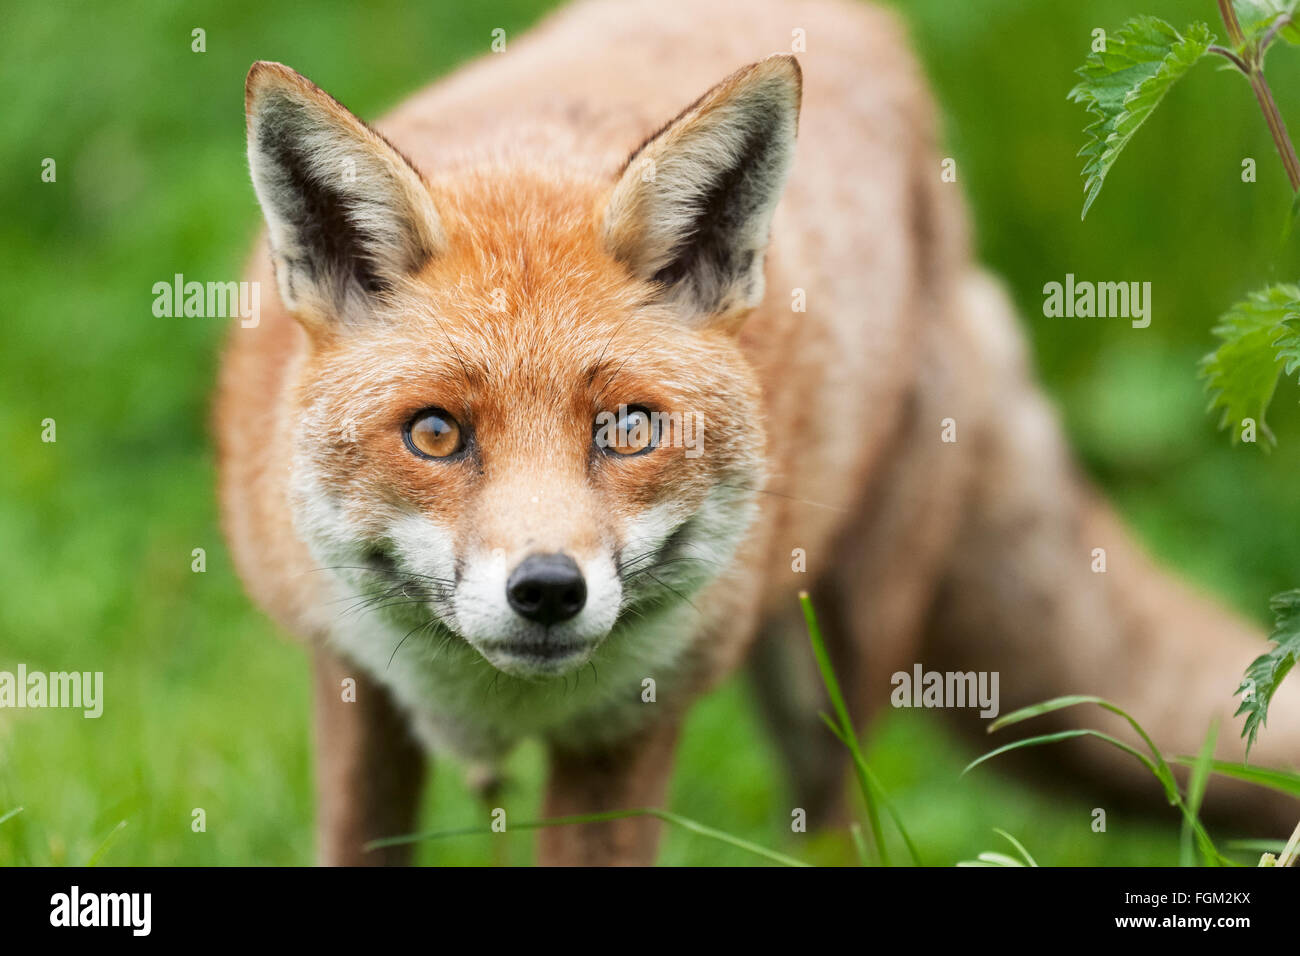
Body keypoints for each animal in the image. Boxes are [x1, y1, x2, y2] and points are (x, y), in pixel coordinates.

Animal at [218, 0, 1300, 868]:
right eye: (436, 434)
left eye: (628, 428)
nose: (548, 590)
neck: (492, 701)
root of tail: (876, 29)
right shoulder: (351, 684)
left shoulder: (631, 728)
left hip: (834, 669)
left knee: (839, 825)